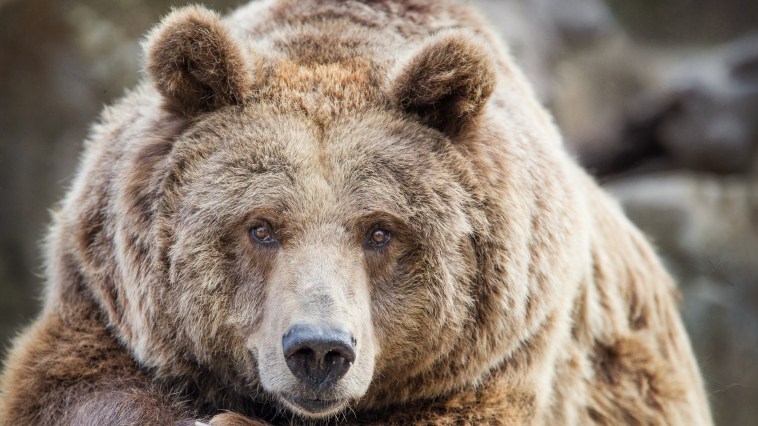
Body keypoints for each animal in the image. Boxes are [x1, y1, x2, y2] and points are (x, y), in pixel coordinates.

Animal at [0, 0, 712, 424]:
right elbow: (77, 392)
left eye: (380, 231)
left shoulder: (504, 347)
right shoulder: (105, 300)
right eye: (261, 226)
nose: (318, 350)